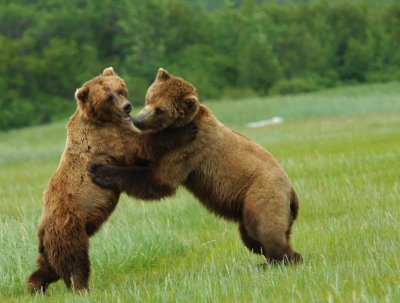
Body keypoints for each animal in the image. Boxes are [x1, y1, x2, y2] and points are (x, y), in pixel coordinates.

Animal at [28, 67, 197, 294]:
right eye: (109, 97)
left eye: (121, 89)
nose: (127, 106)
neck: (103, 120)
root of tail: (42, 229)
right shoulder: (106, 139)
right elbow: (140, 145)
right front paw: (184, 130)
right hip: (69, 228)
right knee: (75, 263)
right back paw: (82, 289)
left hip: (52, 245)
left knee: (49, 267)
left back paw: (35, 286)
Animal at [90, 69, 304, 266]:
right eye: (148, 98)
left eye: (160, 110)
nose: (138, 120)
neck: (185, 123)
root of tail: (293, 193)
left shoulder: (190, 150)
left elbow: (158, 180)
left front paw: (98, 169)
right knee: (251, 237)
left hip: (262, 195)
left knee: (264, 229)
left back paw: (277, 260)